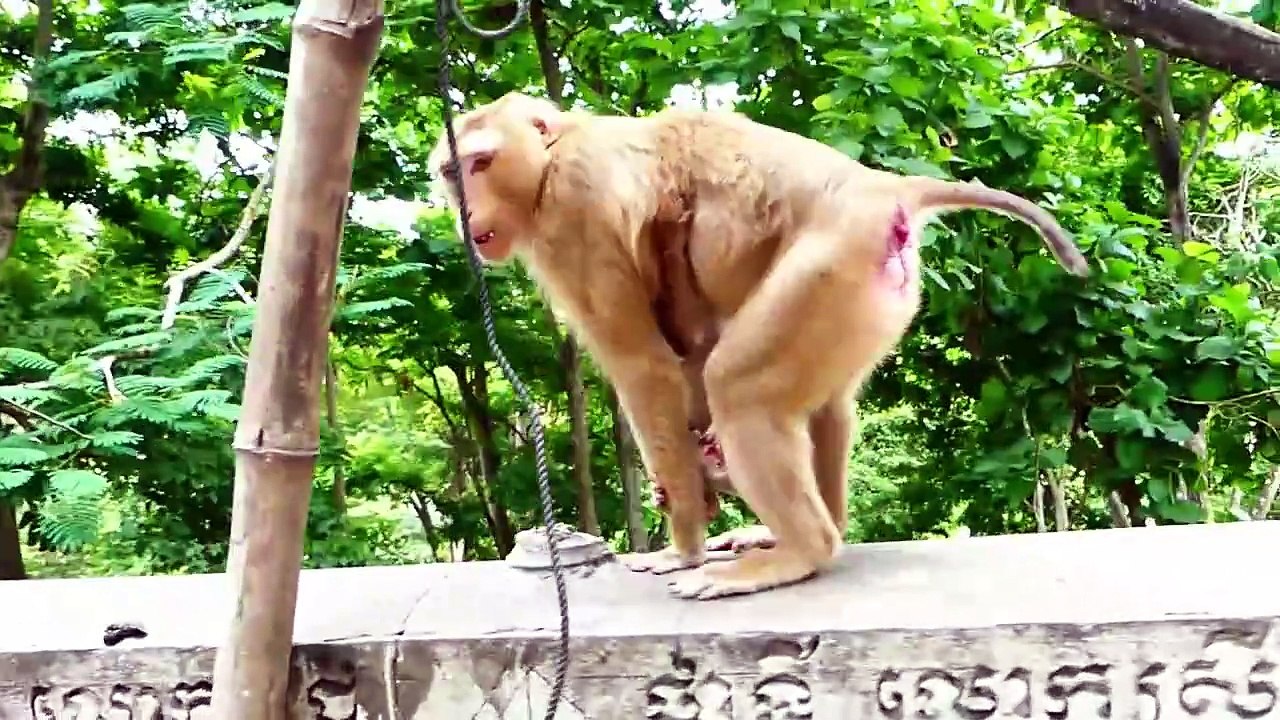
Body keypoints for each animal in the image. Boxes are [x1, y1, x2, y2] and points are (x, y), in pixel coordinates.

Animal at [428, 92, 1088, 600]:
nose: (466, 210)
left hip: (833, 263)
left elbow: (646, 367)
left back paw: (800, 550)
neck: (553, 156)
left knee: (738, 386)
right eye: (453, 172)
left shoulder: (573, 210)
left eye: (480, 162)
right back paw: (813, 528)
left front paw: (683, 544)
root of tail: (882, 189)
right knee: (827, 405)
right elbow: (686, 349)